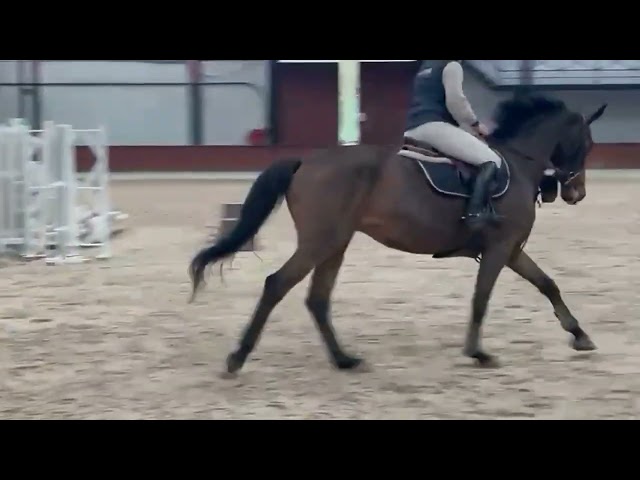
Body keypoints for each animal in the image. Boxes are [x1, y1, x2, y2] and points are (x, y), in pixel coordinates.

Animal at [189, 94, 607, 376]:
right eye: (586, 144)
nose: (576, 193)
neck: (518, 163)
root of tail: (306, 160)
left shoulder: (511, 249)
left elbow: (547, 283)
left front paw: (580, 335)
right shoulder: (500, 248)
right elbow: (481, 299)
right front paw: (477, 353)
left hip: (336, 243)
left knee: (317, 299)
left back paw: (344, 360)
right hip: (320, 241)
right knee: (277, 285)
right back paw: (238, 357)